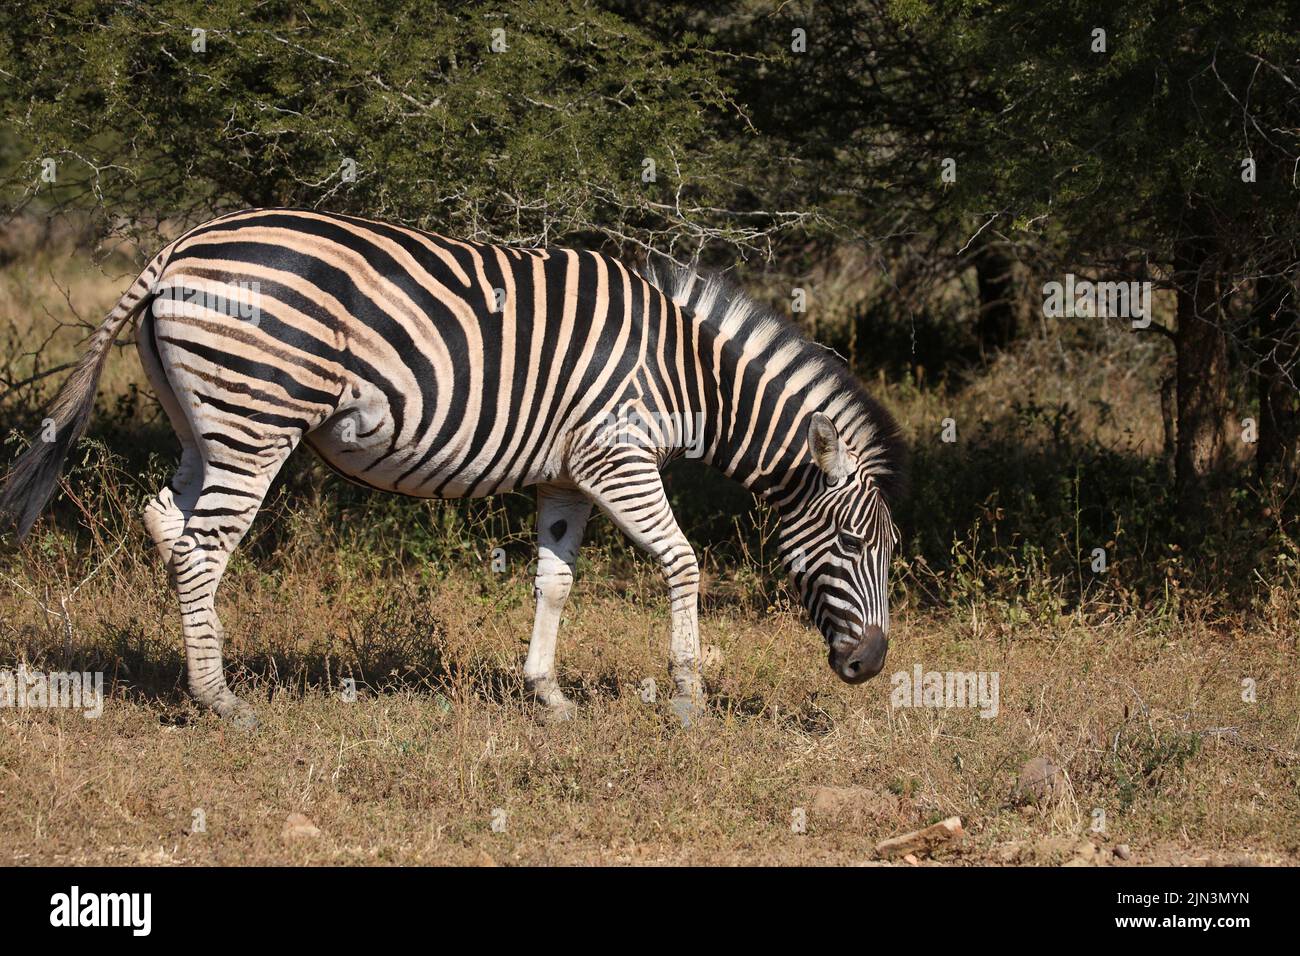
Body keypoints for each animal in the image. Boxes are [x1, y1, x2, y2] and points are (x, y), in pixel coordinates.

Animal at [0, 208, 905, 727]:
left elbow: (554, 582)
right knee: (200, 549)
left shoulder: (567, 476)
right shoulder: (616, 458)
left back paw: (195, 668)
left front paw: (548, 696)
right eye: (856, 547)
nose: (870, 668)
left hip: (206, 425)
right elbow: (683, 562)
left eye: (889, 554)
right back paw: (221, 701)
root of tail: (177, 249)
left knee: (165, 518)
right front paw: (687, 699)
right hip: (257, 421)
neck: (689, 374)